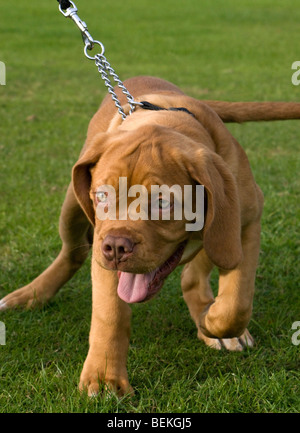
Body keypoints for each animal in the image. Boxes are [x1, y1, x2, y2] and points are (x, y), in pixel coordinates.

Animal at [1, 75, 298, 394]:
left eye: (162, 202)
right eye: (102, 195)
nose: (116, 247)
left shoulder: (242, 224)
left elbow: (236, 303)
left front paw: (213, 323)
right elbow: (110, 314)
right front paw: (105, 378)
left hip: (218, 232)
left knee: (193, 275)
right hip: (72, 208)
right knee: (73, 251)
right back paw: (30, 295)